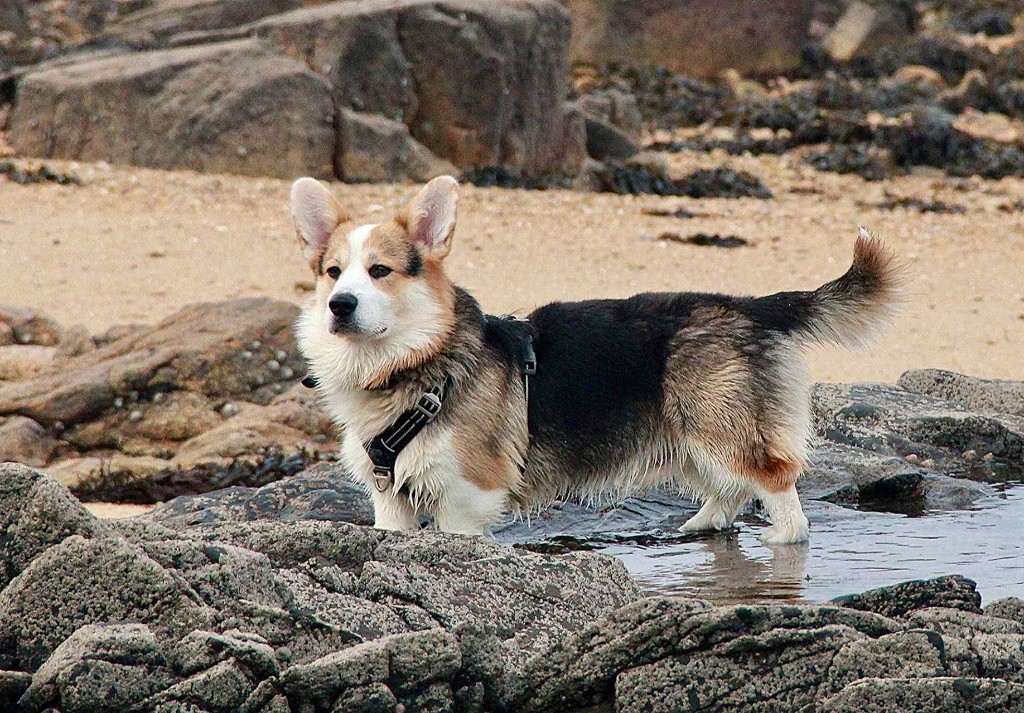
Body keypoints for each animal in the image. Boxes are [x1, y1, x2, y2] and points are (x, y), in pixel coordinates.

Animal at [286, 175, 897, 544]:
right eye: (333, 273)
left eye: (380, 272)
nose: (340, 306)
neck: (411, 364)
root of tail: (746, 305)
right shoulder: (389, 501)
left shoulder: (466, 497)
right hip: (691, 436)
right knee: (729, 490)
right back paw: (698, 527)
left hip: (720, 426)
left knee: (774, 483)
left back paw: (781, 538)